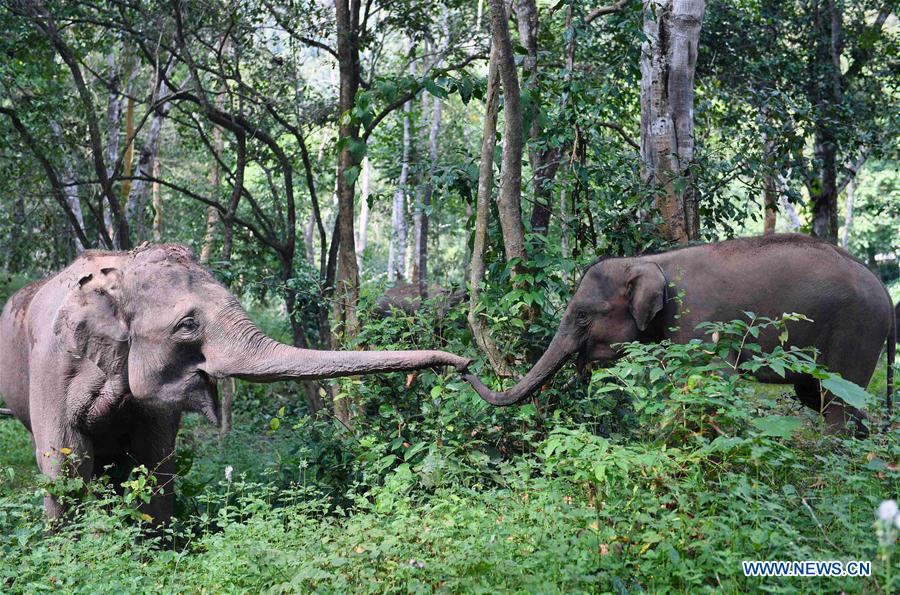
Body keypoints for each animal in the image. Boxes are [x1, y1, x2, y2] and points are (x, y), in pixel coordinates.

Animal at [0, 244, 469, 524]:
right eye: (187, 325)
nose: (465, 364)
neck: (120, 272)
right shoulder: (52, 365)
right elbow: (67, 462)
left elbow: (155, 461)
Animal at [464, 234, 895, 437]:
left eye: (582, 315)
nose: (465, 365)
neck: (648, 260)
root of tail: (886, 292)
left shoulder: (699, 320)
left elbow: (710, 380)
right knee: (821, 399)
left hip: (857, 330)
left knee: (837, 404)